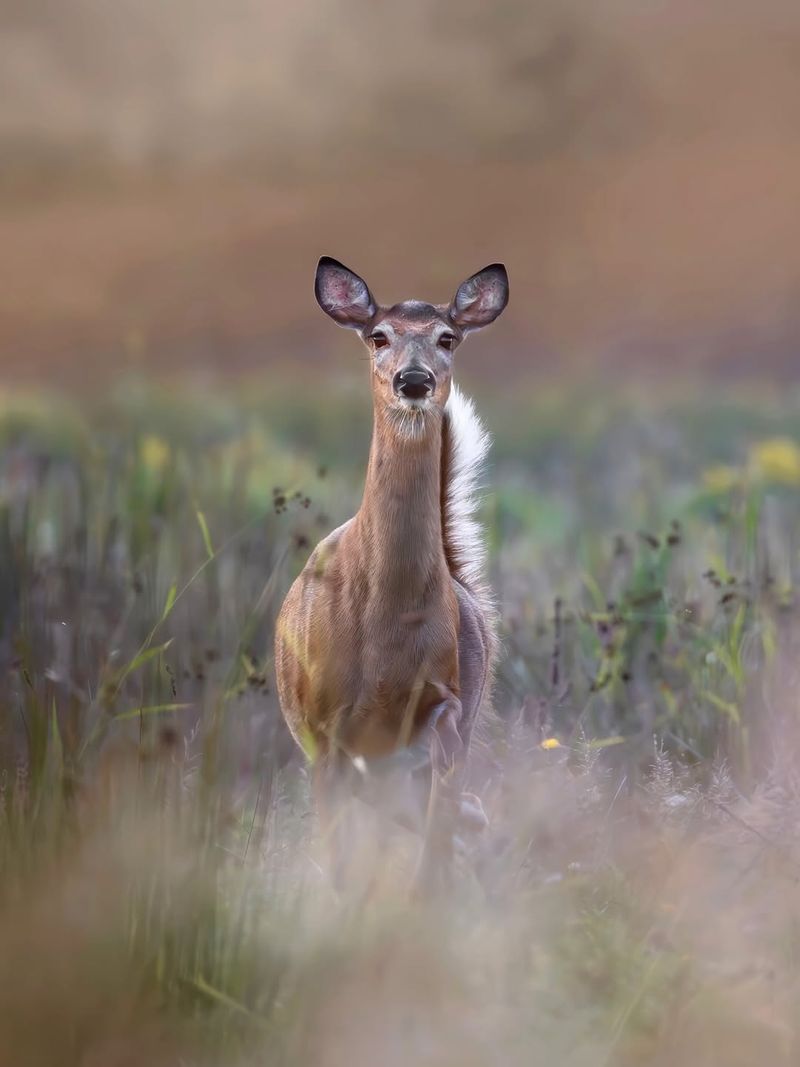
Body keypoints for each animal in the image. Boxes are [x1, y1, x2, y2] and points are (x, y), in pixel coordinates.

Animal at [274, 256, 508, 889]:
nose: (414, 380)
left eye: (447, 337)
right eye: (378, 335)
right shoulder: (324, 727)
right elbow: (337, 858)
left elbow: (433, 834)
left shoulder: (444, 702)